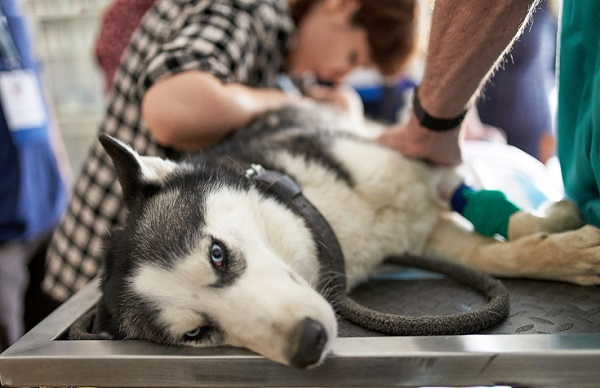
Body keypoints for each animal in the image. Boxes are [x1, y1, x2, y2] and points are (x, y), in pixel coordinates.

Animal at [96, 104, 596, 368]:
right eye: (197, 333)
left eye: (216, 254)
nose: (308, 344)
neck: (325, 219)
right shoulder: (422, 238)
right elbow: (491, 255)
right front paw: (564, 250)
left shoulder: (421, 168)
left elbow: (494, 223)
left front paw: (557, 228)